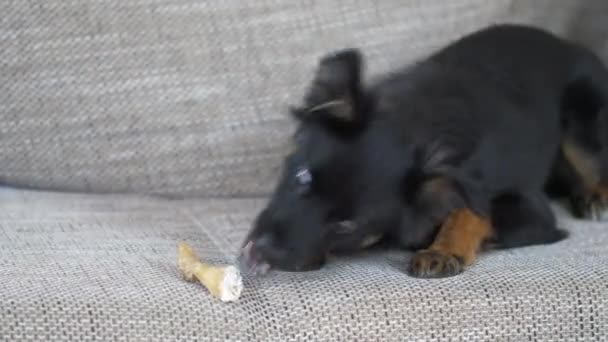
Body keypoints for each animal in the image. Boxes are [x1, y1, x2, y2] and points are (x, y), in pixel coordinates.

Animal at [238, 25, 608, 280]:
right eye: (302, 177)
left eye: (346, 225)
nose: (265, 249)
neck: (416, 124)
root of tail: (568, 43)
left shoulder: (531, 212)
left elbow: (473, 213)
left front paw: (445, 249)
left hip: (581, 116)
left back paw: (595, 195)